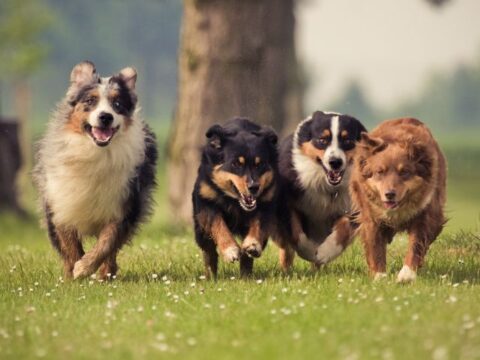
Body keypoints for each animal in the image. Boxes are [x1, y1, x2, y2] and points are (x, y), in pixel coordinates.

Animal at [33, 61, 158, 282]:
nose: (105, 117)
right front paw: (74, 273)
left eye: (118, 104)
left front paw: (85, 267)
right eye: (90, 100)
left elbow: (107, 242)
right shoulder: (60, 203)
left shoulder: (125, 204)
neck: (95, 152)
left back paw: (105, 275)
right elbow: (69, 244)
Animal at [192, 118, 278, 278]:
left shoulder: (266, 203)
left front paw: (253, 244)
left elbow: (258, 223)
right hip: (200, 230)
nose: (254, 187)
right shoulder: (206, 203)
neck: (234, 200)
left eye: (260, 164)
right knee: (209, 251)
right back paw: (211, 276)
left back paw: (245, 276)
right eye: (236, 164)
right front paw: (230, 250)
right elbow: (218, 224)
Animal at [272, 111, 366, 268]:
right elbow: (295, 232)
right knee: (286, 248)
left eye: (347, 141)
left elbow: (344, 229)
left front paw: (324, 253)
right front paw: (309, 251)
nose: (335, 162)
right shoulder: (286, 203)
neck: (328, 187)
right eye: (322, 140)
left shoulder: (354, 207)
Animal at [350, 117, 448, 282]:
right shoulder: (371, 217)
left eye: (404, 172)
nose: (390, 194)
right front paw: (380, 276)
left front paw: (407, 275)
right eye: (379, 172)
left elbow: (416, 244)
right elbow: (375, 246)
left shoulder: (425, 214)